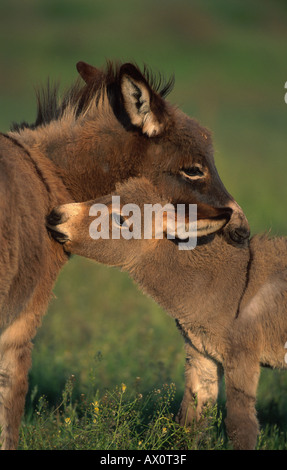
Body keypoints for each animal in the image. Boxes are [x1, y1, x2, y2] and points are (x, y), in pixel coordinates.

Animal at [49, 178, 287, 450]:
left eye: (121, 219)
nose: (55, 215)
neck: (229, 282)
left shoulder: (242, 358)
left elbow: (241, 427)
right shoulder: (201, 355)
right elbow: (190, 420)